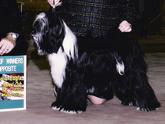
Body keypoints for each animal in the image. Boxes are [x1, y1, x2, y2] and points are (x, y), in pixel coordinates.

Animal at [30, 10, 160, 113]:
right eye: (36, 23)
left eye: (43, 24)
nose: (32, 32)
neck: (61, 45)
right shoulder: (63, 76)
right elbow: (63, 91)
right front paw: (59, 105)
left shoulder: (74, 77)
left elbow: (73, 91)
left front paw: (71, 108)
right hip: (123, 76)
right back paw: (131, 101)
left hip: (133, 72)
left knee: (143, 86)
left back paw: (149, 106)